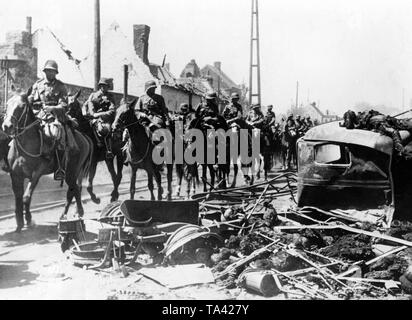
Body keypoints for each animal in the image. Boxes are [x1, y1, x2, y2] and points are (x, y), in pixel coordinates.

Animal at [1, 93, 92, 232]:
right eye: (7, 104)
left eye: (22, 106)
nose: (7, 126)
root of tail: (84, 137)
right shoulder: (15, 175)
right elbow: (18, 197)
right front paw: (20, 223)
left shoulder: (36, 174)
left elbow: (26, 197)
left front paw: (29, 220)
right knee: (73, 190)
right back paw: (66, 214)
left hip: (71, 172)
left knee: (75, 189)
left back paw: (78, 213)